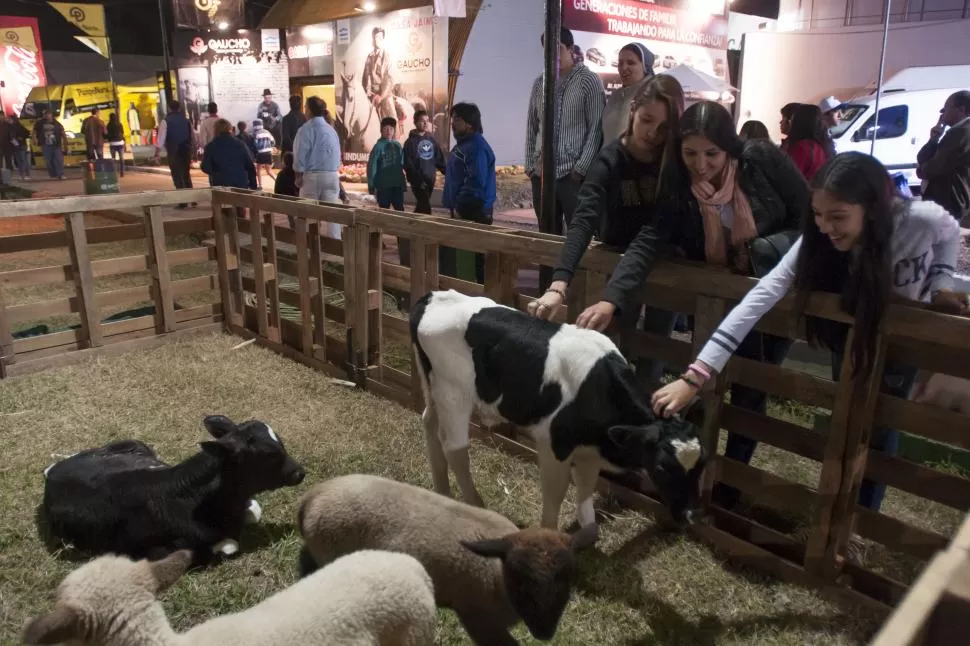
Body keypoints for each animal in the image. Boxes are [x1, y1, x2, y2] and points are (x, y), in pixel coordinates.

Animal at [39, 418, 304, 564]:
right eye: (269, 456)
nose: (300, 472)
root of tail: (52, 478)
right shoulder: (160, 552)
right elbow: (228, 546)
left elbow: (254, 511)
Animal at [408, 292, 704, 532]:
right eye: (662, 467)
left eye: (701, 465)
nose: (691, 515)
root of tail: (432, 297)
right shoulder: (554, 446)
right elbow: (556, 493)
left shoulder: (589, 453)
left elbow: (586, 488)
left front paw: (587, 535)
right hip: (454, 394)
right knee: (455, 449)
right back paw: (475, 503)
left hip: (433, 388)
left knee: (429, 424)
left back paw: (442, 491)